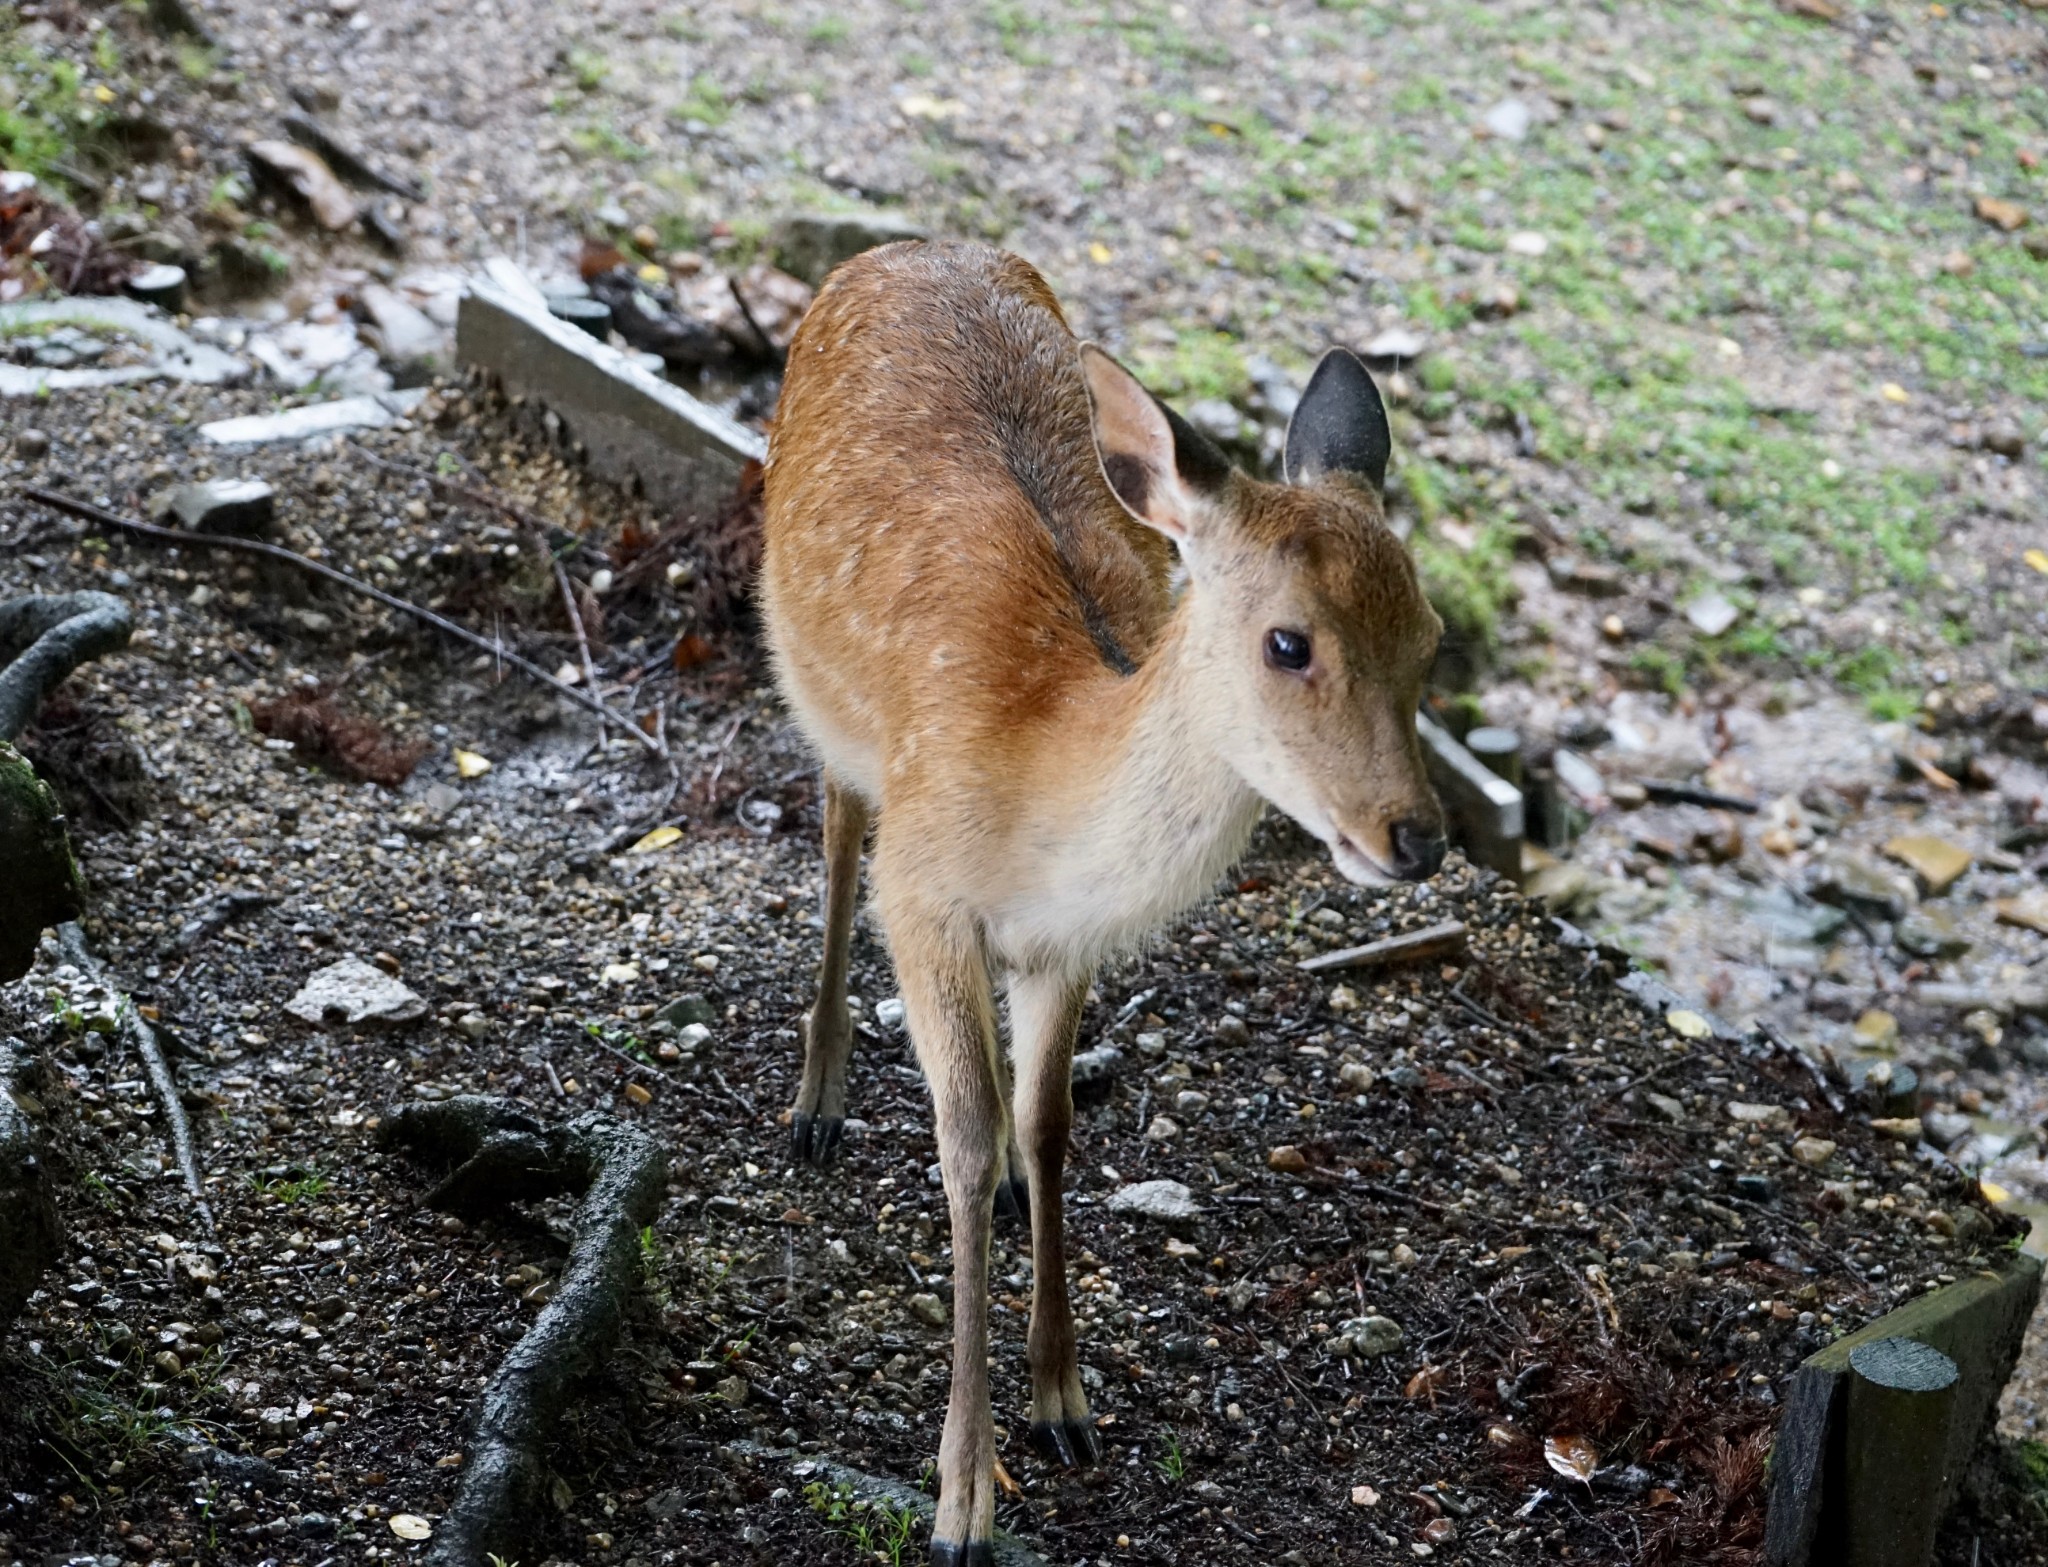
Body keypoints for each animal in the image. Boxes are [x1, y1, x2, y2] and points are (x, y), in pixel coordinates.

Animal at [761, 244, 1449, 1564]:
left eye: (1431, 634)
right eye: (1288, 642)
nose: (1417, 835)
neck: (1040, 768)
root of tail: (897, 248)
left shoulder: (1062, 943)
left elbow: (1045, 1124)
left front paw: (1064, 1401)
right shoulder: (923, 891)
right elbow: (962, 1141)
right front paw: (961, 1506)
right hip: (800, 662)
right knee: (832, 823)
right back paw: (815, 1100)